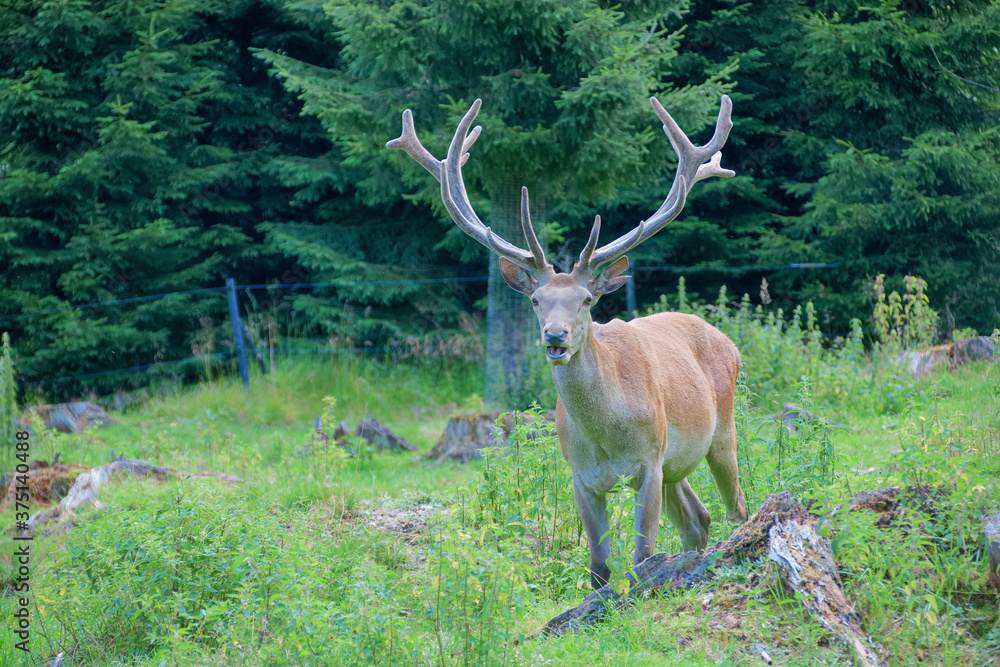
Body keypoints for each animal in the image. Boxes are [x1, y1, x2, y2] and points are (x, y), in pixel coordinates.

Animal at [388, 95, 748, 590]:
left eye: (587, 300)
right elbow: (599, 566)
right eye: (536, 300)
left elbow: (642, 556)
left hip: (722, 431)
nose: (555, 336)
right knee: (698, 519)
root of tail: (726, 341)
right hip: (677, 465)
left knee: (737, 508)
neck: (606, 437)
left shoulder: (649, 462)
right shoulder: (581, 474)